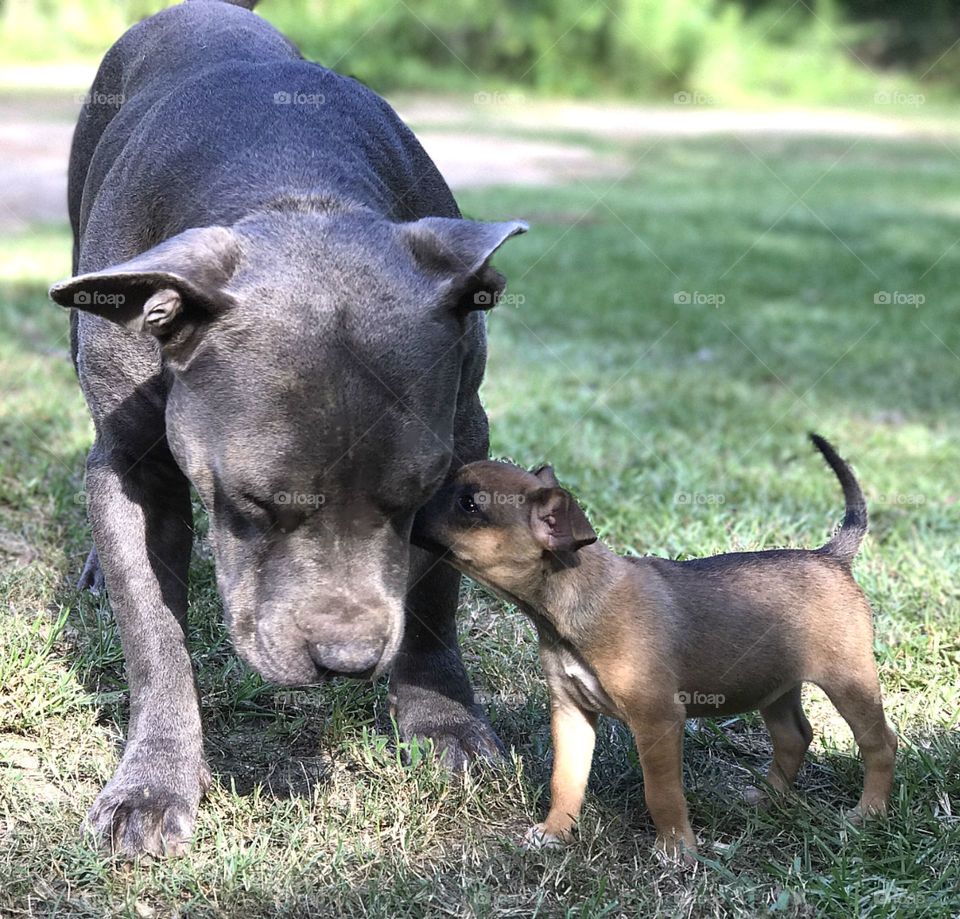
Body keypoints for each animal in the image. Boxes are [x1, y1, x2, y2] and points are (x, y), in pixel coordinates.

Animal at [49, 0, 528, 856]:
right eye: (256, 502)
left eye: (416, 495)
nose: (347, 659)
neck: (292, 190)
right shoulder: (133, 468)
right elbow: (153, 631)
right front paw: (153, 783)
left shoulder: (463, 438)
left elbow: (434, 595)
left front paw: (445, 722)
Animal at [416, 434, 896, 860]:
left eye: (469, 504)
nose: (418, 496)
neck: (574, 594)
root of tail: (831, 556)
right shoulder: (571, 714)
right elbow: (565, 780)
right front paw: (556, 833)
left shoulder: (657, 722)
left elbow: (661, 793)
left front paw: (676, 849)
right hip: (773, 683)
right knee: (794, 736)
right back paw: (768, 797)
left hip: (848, 682)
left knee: (879, 744)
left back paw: (868, 813)